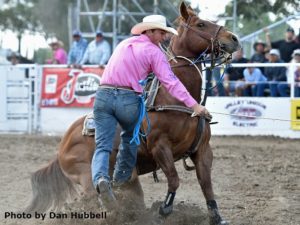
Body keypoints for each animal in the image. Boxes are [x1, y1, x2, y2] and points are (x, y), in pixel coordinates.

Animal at [27, 2, 240, 225]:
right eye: (201, 24)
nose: (234, 38)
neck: (174, 99)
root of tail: (62, 145)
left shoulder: (203, 150)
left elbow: (206, 184)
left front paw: (216, 217)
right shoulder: (160, 147)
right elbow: (174, 179)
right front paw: (164, 209)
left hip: (129, 178)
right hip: (87, 177)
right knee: (97, 195)